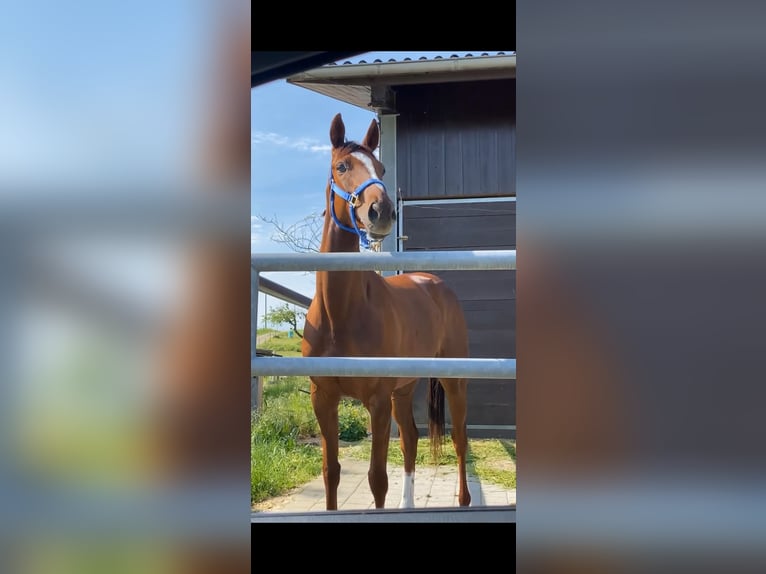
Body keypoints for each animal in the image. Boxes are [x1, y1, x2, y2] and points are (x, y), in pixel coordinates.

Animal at [302, 115, 474, 510]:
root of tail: (434, 282)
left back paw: (463, 500)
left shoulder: (377, 402)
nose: (381, 212)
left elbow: (377, 479)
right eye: (342, 166)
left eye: (381, 169)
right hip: (404, 388)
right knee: (410, 439)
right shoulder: (323, 399)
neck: (340, 314)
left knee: (459, 440)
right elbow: (331, 472)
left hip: (453, 380)